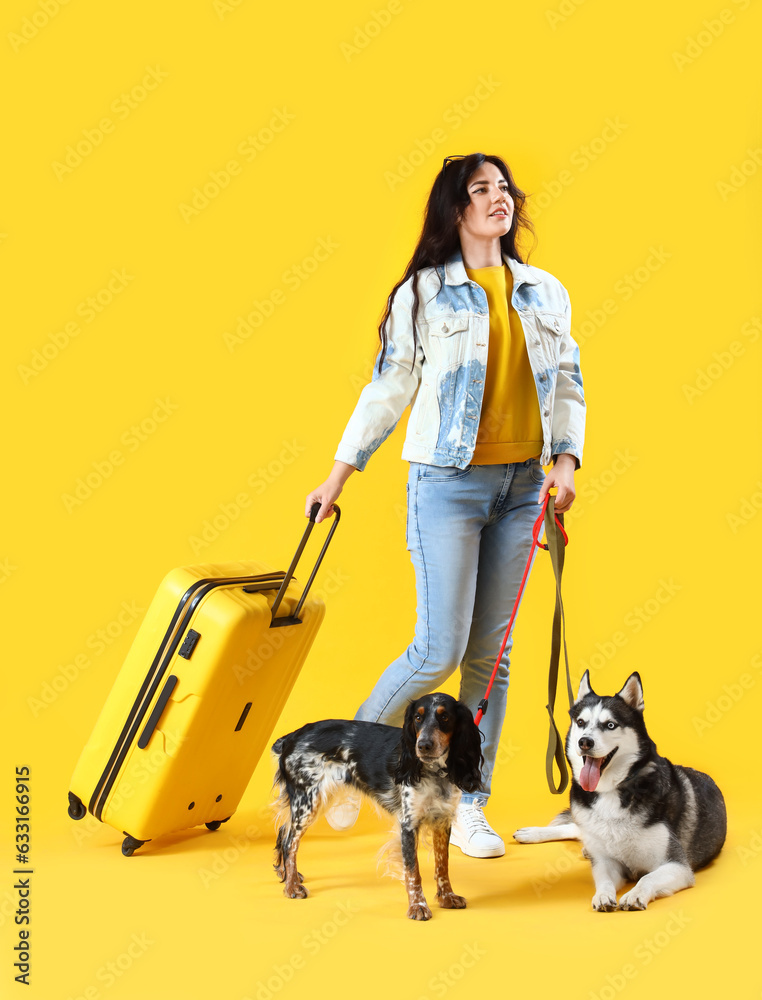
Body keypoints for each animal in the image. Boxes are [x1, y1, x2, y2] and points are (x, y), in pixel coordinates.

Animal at [272, 696, 480, 920]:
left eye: (445, 717)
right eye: (417, 717)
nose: (423, 745)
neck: (435, 772)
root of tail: (291, 737)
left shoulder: (442, 820)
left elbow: (442, 865)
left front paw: (447, 897)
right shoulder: (408, 824)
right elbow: (413, 871)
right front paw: (418, 906)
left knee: (284, 831)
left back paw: (287, 875)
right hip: (308, 801)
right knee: (289, 842)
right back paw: (292, 887)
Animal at [510, 668, 724, 912]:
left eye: (610, 725)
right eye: (581, 722)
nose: (584, 742)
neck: (611, 790)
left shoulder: (677, 865)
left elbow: (647, 877)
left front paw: (634, 895)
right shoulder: (606, 861)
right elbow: (603, 878)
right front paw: (603, 896)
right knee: (576, 828)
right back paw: (533, 833)